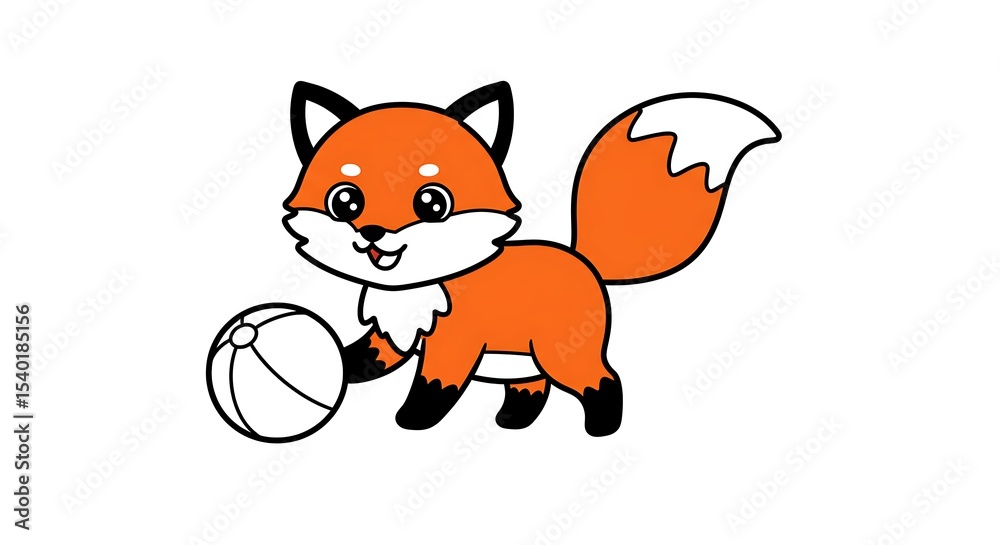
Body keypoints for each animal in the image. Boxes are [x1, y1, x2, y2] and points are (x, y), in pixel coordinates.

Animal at [283, 81, 780, 436]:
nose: (371, 233)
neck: (419, 286)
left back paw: (602, 428)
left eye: (432, 203)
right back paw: (515, 421)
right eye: (345, 201)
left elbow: (434, 386)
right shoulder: (395, 332)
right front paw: (338, 366)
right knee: (532, 389)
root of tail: (582, 259)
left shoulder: (452, 343)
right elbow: (365, 356)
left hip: (562, 354)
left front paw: (414, 421)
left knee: (604, 380)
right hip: (525, 360)